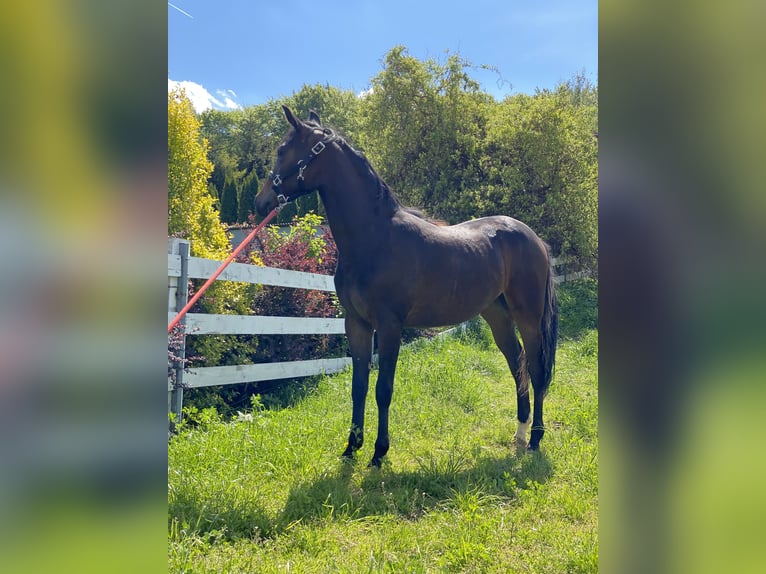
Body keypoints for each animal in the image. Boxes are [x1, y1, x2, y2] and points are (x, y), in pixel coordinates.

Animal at [258, 107, 560, 468]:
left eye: (281, 150)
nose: (260, 202)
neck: (375, 238)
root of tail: (534, 238)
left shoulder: (390, 327)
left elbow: (383, 389)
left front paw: (378, 453)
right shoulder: (356, 324)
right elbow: (358, 387)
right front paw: (351, 447)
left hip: (528, 315)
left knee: (537, 368)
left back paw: (536, 438)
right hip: (496, 315)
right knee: (517, 363)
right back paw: (520, 431)